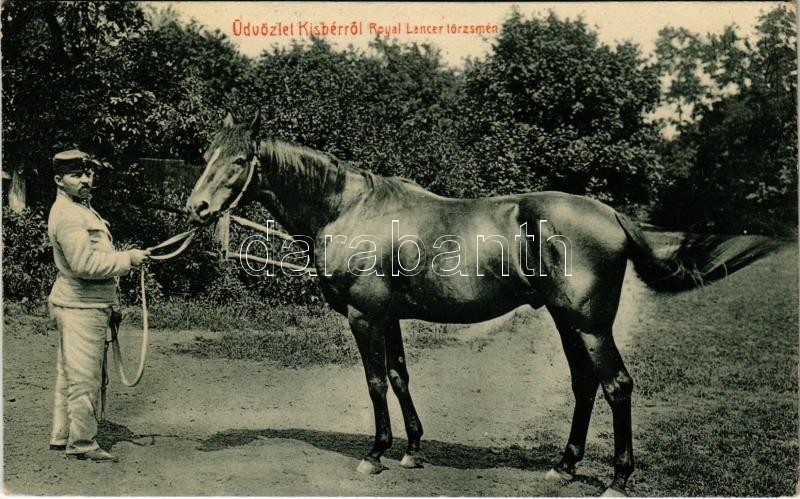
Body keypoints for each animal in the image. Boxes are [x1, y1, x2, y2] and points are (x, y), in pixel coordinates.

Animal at [185, 113, 777, 496]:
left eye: (239, 160)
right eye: (205, 156)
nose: (197, 208)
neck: (348, 209)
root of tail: (610, 214)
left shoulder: (365, 316)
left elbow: (375, 381)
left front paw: (375, 454)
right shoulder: (389, 316)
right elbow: (399, 376)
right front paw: (412, 450)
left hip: (589, 324)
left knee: (616, 386)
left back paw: (617, 480)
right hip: (565, 320)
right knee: (585, 384)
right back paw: (565, 466)